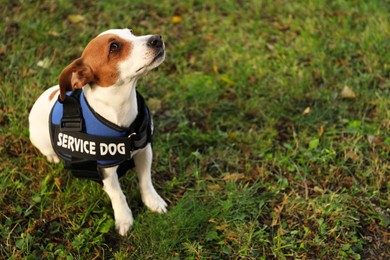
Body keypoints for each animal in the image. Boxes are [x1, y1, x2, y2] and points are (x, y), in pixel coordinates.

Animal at [28, 28, 166, 236]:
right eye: (114, 47)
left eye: (131, 33)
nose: (157, 38)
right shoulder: (106, 171)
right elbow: (118, 195)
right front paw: (124, 219)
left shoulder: (144, 151)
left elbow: (145, 180)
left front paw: (153, 201)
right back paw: (52, 156)